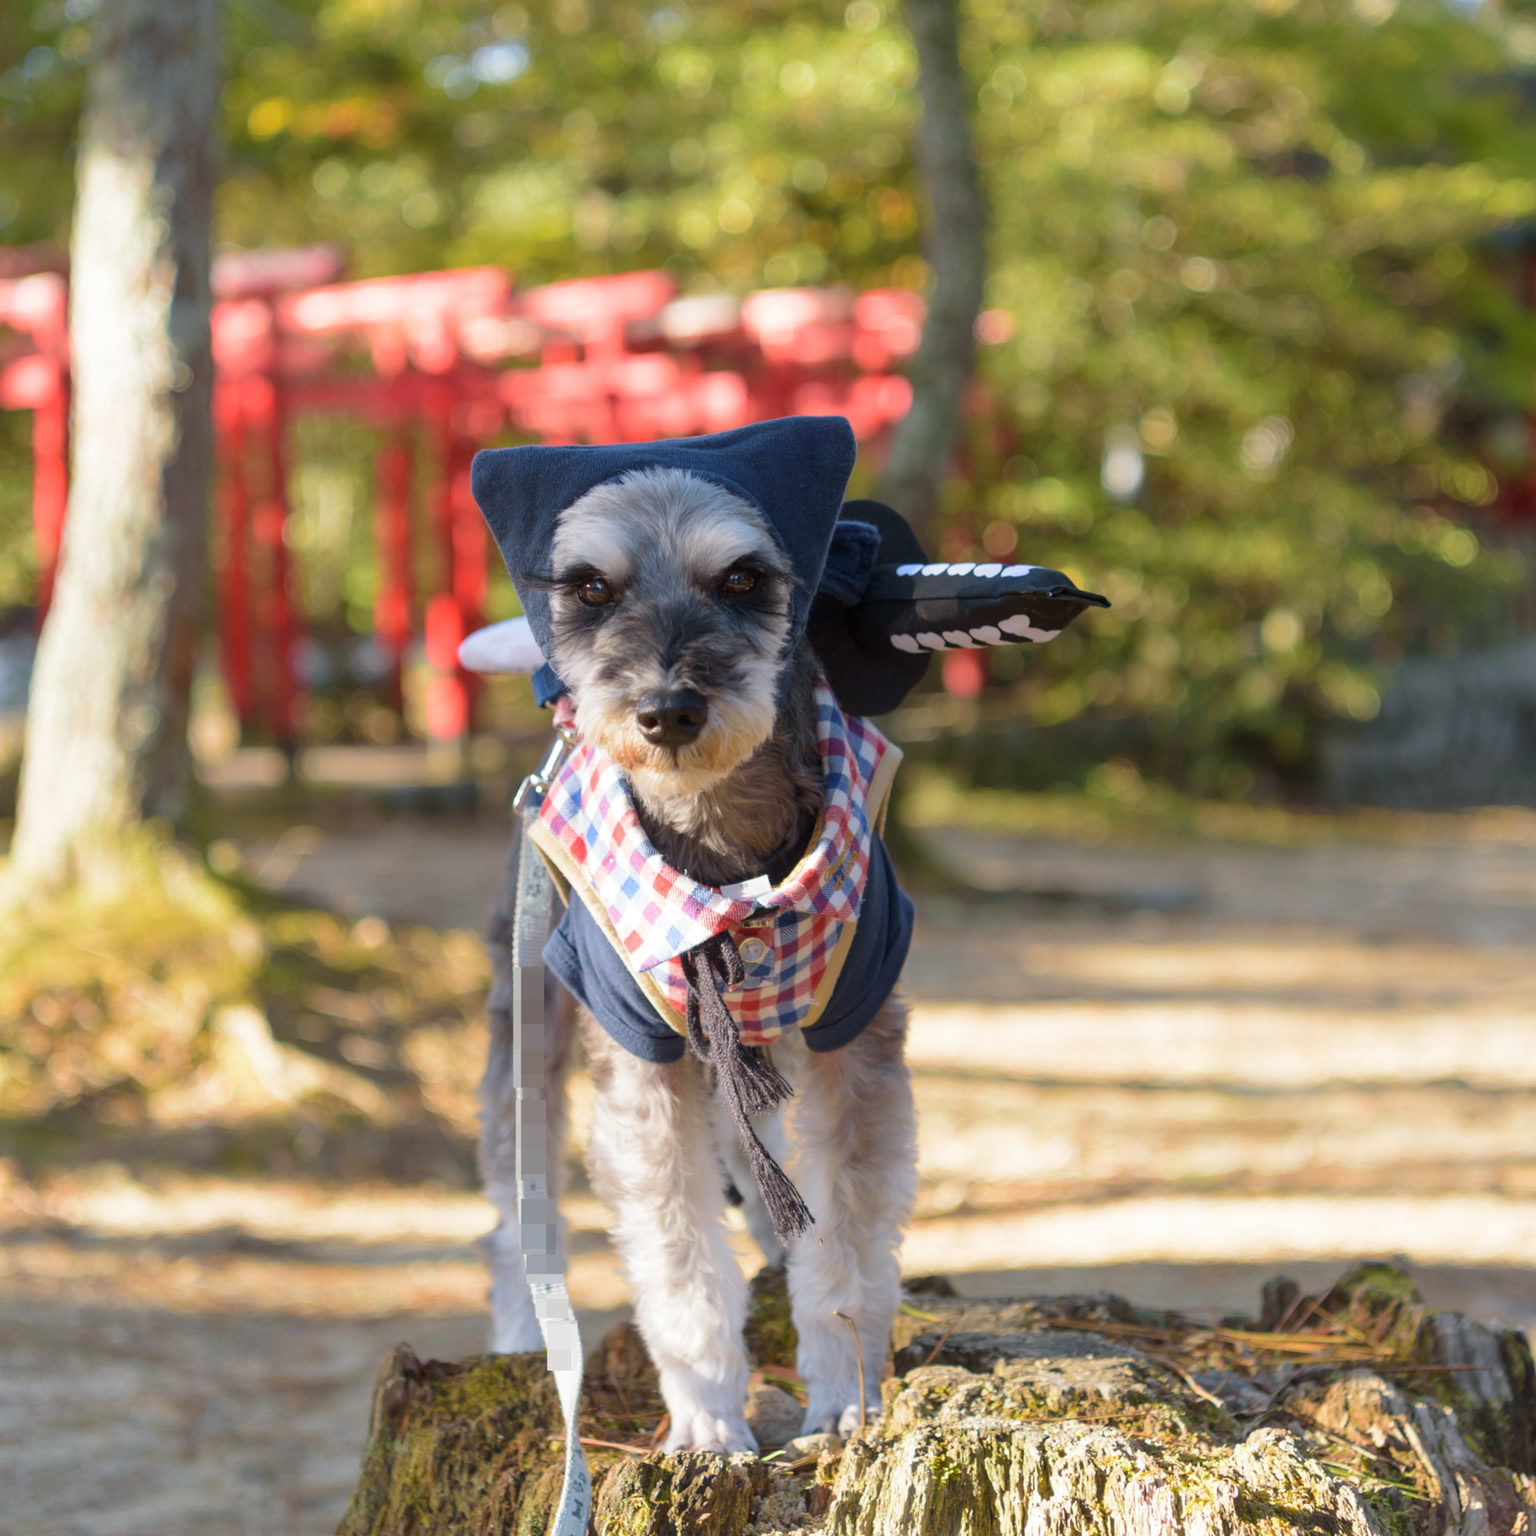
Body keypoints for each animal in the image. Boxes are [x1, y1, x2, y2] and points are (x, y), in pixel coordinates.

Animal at [473, 442, 915, 1449]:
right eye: (590, 587)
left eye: (743, 578)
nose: (669, 710)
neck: (718, 830)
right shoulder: (641, 1066)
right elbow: (676, 1253)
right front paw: (710, 1420)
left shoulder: (856, 1037)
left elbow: (846, 1234)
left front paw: (845, 1395)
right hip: (532, 1027)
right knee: (521, 1218)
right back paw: (519, 1337)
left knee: (762, 1167)